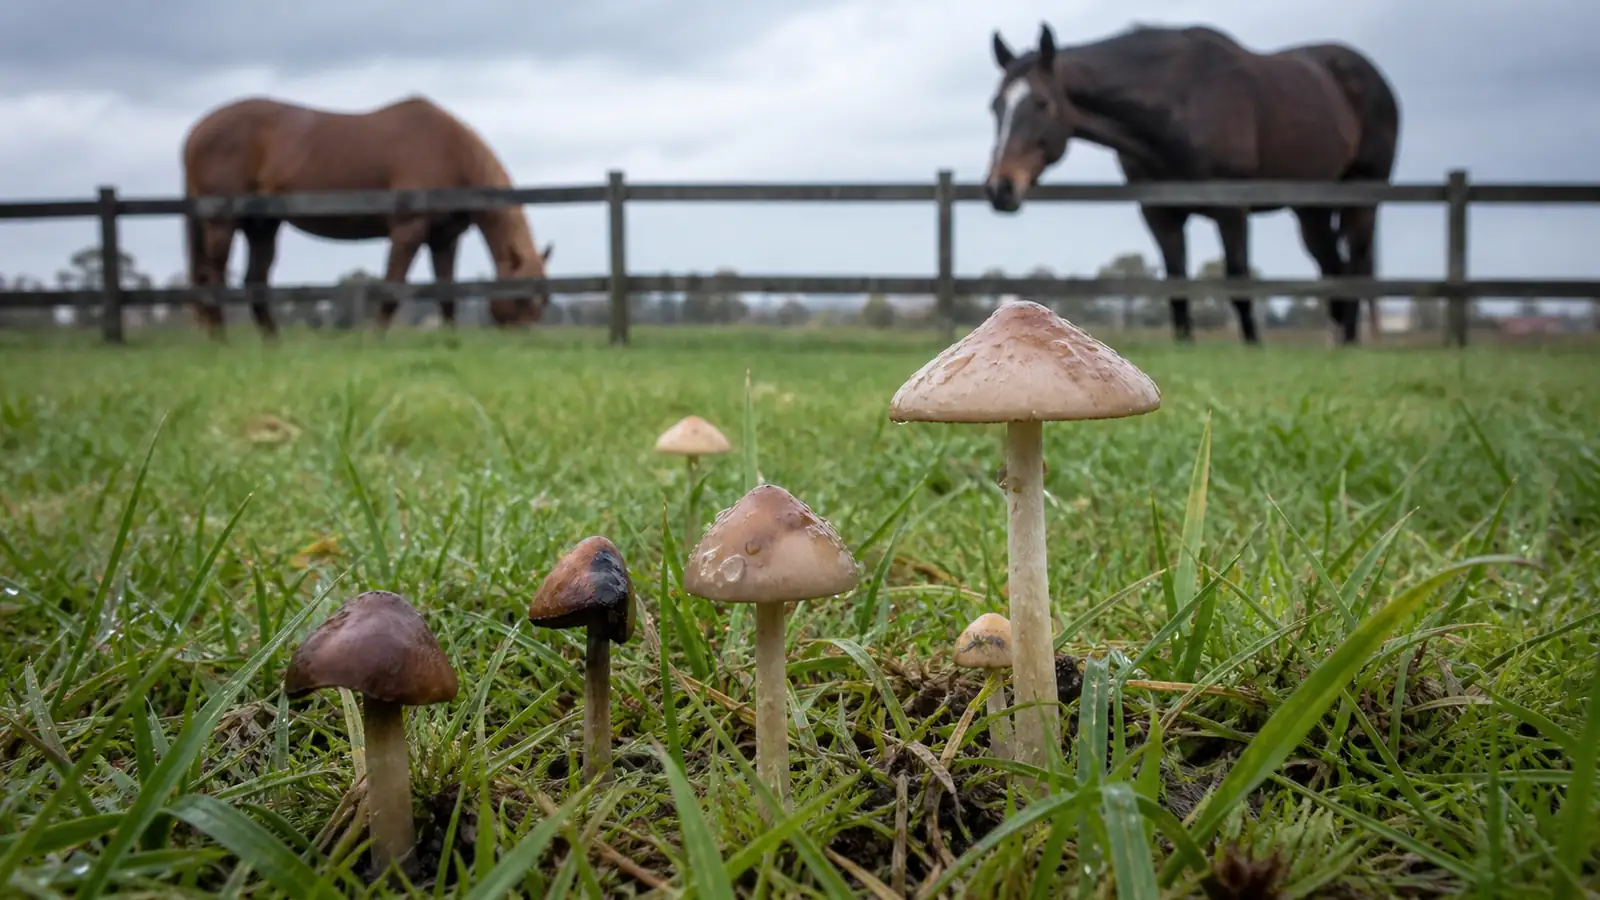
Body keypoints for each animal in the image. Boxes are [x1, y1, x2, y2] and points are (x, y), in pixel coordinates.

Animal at [181, 94, 555, 340]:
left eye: (545, 300)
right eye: (521, 296)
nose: (526, 336)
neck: (451, 152)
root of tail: (196, 131)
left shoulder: (443, 239)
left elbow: (446, 292)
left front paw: (450, 341)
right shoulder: (408, 231)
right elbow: (391, 288)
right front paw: (374, 338)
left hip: (261, 227)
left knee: (254, 282)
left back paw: (272, 343)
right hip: (222, 223)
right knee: (212, 277)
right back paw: (220, 339)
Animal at [984, 23, 1400, 346]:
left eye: (1041, 103)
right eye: (996, 106)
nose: (999, 188)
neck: (1180, 100)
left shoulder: (1231, 208)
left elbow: (1238, 279)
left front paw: (1252, 347)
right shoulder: (1159, 212)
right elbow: (1176, 283)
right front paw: (1186, 342)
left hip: (1362, 193)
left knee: (1355, 263)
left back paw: (1349, 339)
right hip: (1311, 208)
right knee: (1333, 266)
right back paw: (1338, 339)